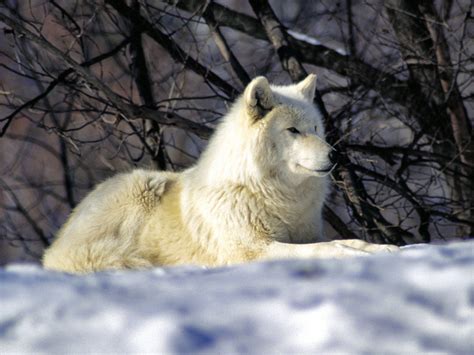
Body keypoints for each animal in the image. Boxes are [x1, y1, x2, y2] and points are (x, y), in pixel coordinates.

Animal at [42, 75, 398, 274]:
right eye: (293, 131)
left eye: (314, 129)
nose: (334, 155)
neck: (271, 193)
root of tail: (54, 249)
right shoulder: (253, 249)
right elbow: (327, 248)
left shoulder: (306, 234)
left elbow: (345, 240)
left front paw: (382, 250)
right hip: (142, 187)